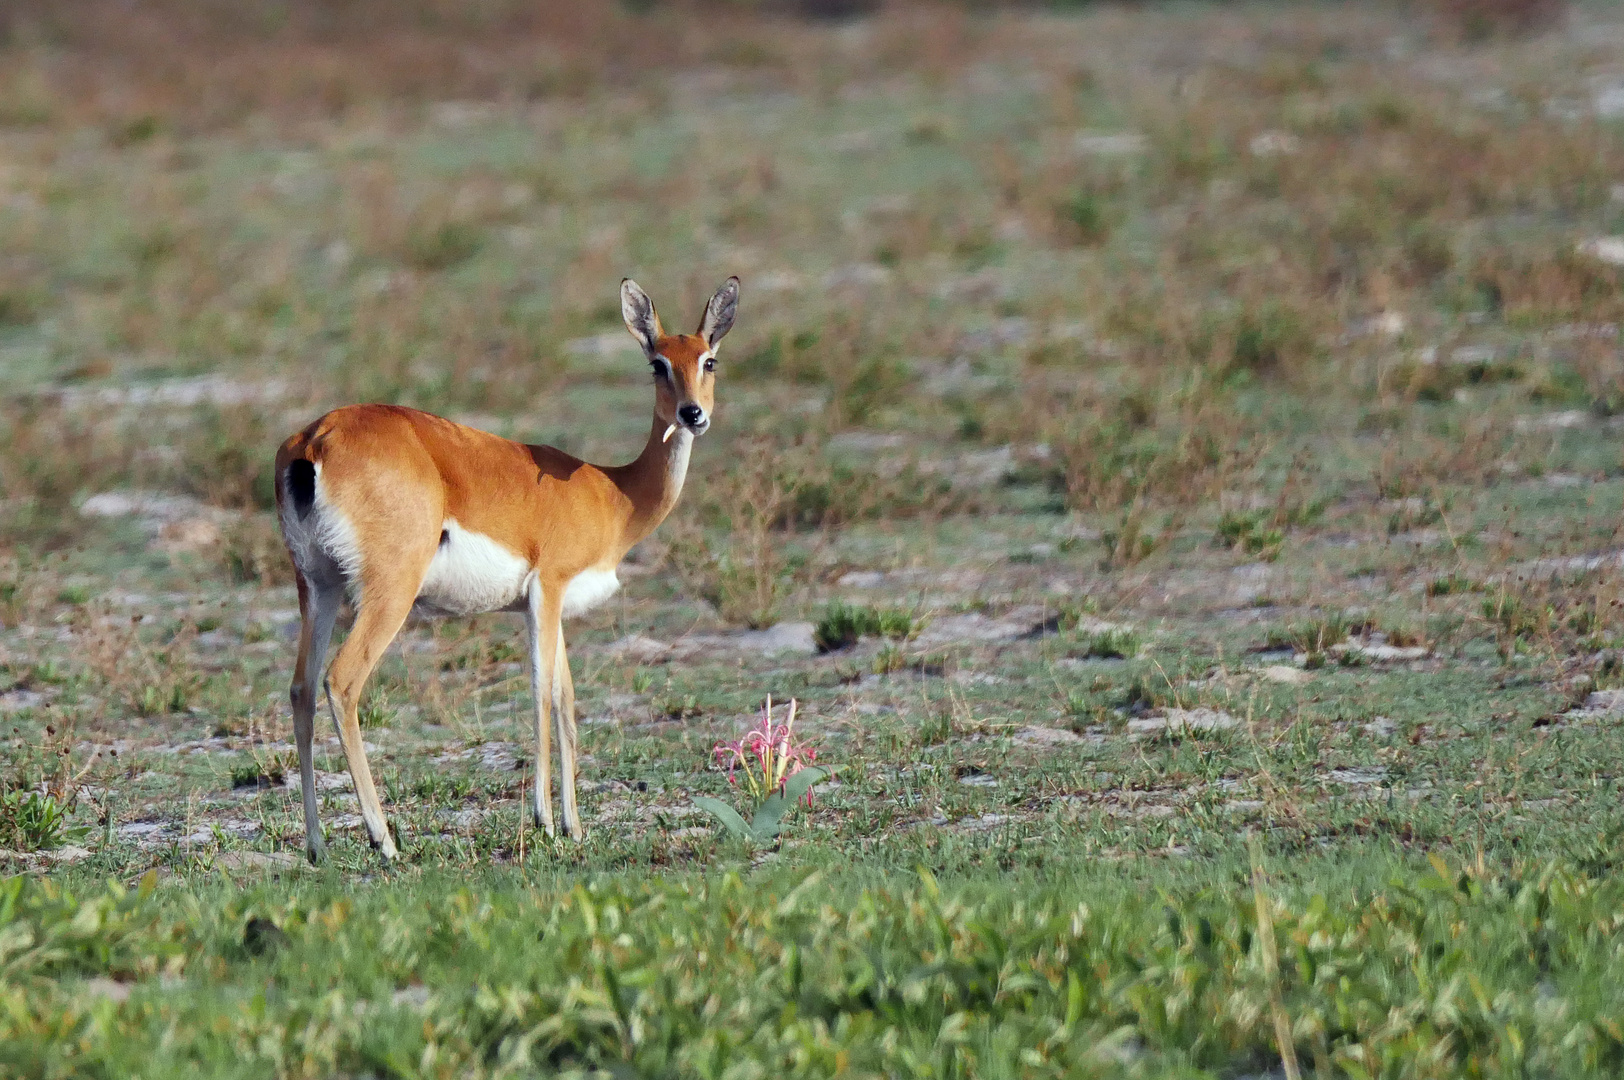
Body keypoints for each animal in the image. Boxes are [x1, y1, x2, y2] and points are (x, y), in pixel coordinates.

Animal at [274, 276, 743, 857]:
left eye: (709, 360)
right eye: (658, 363)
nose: (692, 414)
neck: (614, 495)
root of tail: (313, 443)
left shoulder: (548, 606)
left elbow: (566, 702)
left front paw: (574, 825)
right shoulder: (548, 590)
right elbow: (541, 693)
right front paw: (545, 820)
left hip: (318, 587)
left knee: (301, 689)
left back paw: (317, 847)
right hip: (389, 592)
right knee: (341, 680)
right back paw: (383, 840)